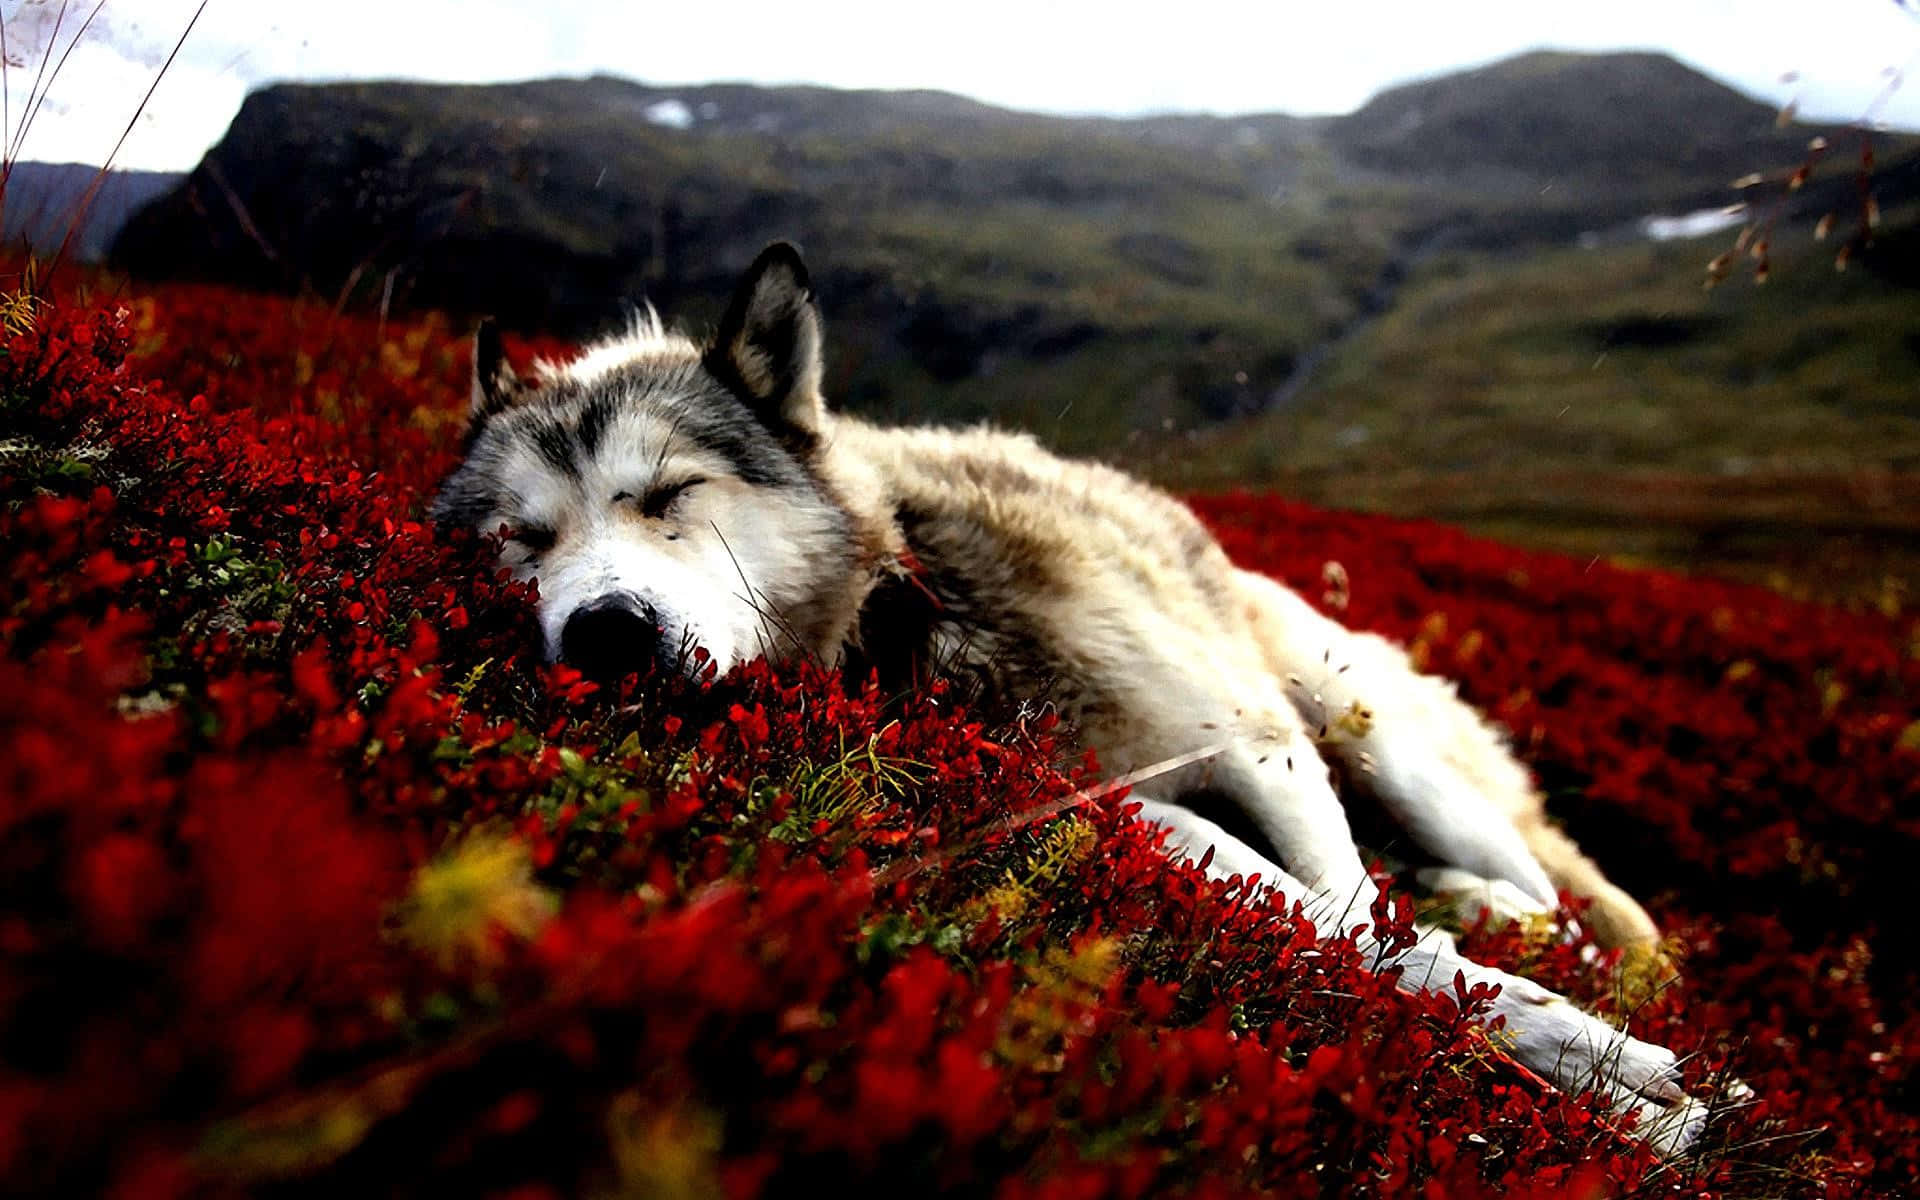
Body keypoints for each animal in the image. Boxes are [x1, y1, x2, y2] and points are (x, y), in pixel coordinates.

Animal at [432, 243, 1712, 1152]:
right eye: (521, 540)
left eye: (671, 494)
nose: (604, 634)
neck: (917, 608)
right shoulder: (1128, 813)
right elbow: (1355, 941)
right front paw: (1615, 1091)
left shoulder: (1257, 746)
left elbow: (1363, 920)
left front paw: (1623, 1078)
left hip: (1363, 728)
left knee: (1568, 900)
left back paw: (1500, 909)